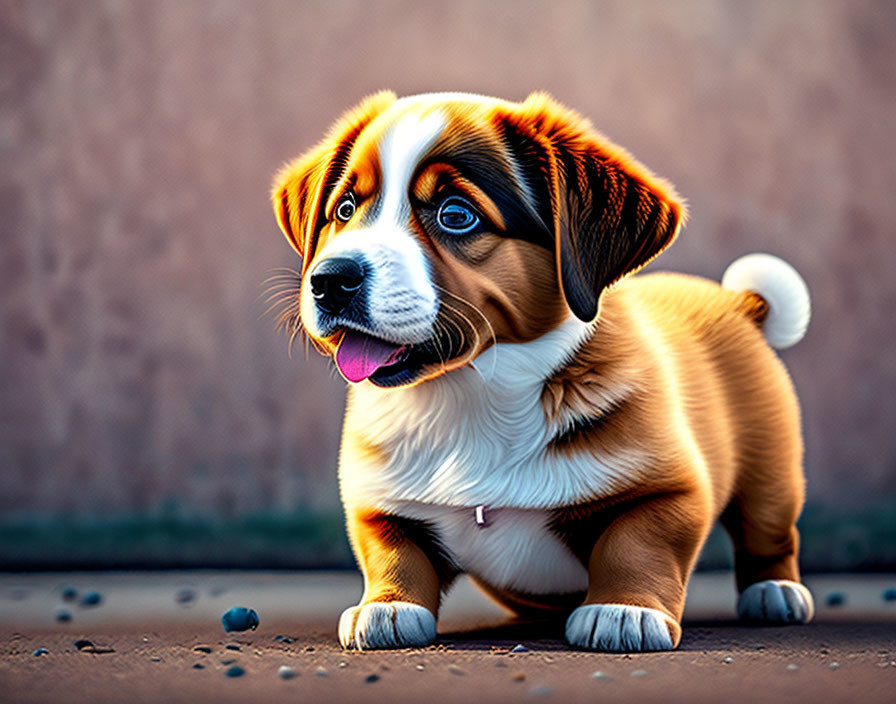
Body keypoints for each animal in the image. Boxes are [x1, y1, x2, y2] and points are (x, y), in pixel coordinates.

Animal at [270, 91, 816, 652]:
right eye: (344, 209)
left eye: (456, 215)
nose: (329, 281)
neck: (472, 394)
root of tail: (737, 302)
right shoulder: (378, 502)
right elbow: (394, 552)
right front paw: (386, 607)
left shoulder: (671, 489)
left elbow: (636, 544)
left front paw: (625, 611)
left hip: (771, 469)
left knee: (768, 530)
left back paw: (775, 591)